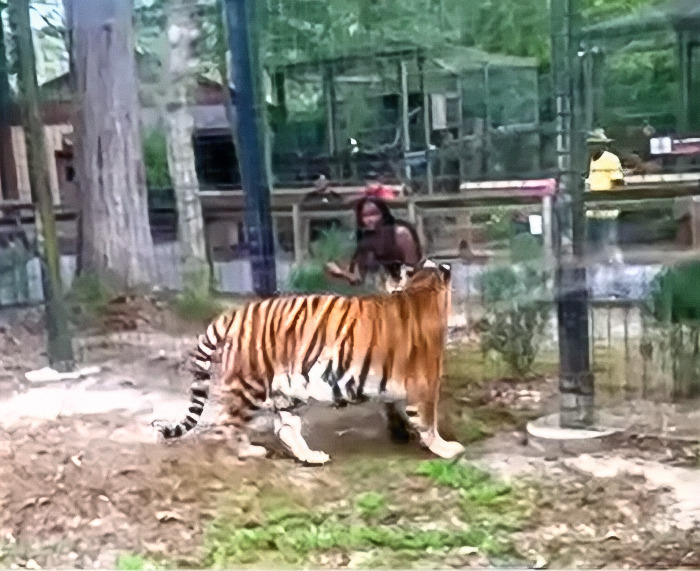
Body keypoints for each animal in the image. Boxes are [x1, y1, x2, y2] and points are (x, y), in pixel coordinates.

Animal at [152, 259, 464, 465]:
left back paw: (311, 456)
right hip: (250, 384)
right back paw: (247, 452)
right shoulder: (425, 382)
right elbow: (428, 421)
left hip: (288, 390)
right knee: (228, 422)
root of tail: (234, 314)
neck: (421, 290)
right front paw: (445, 449)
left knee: (285, 428)